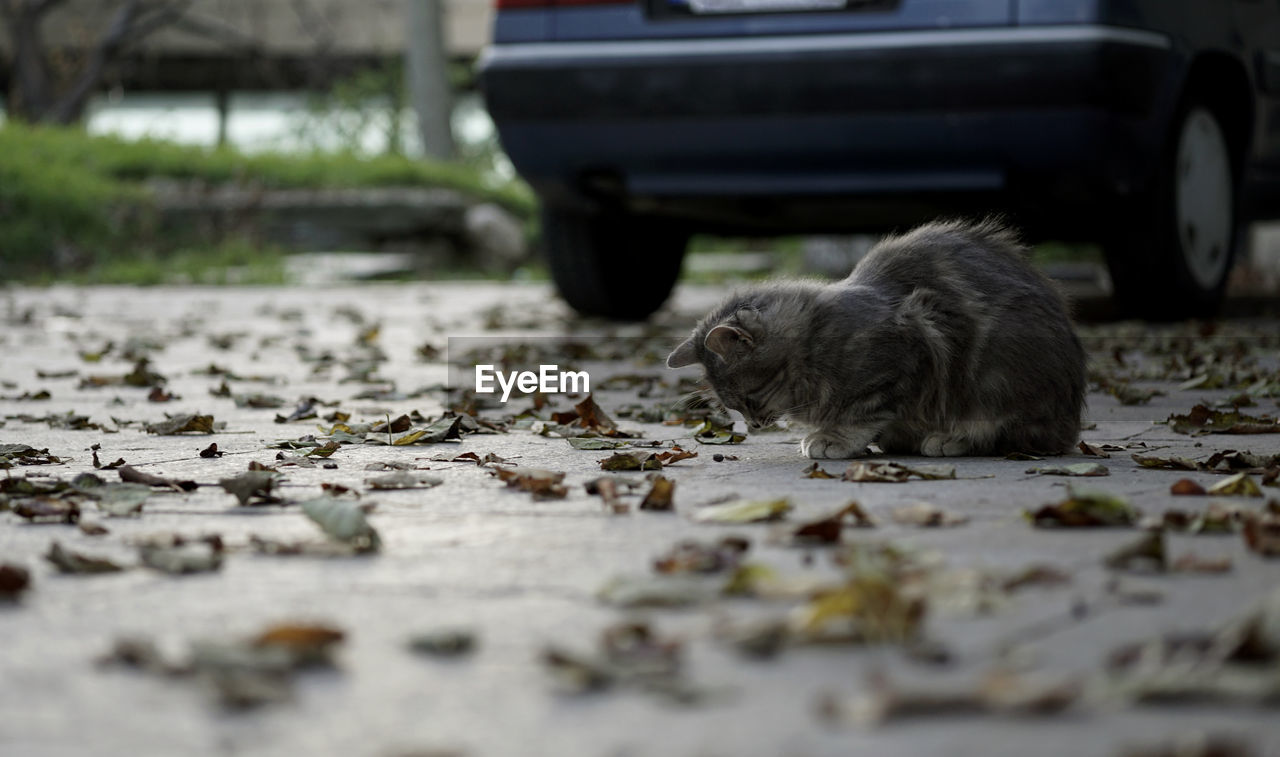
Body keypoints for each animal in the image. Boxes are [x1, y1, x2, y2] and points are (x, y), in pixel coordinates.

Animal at [665, 217, 1085, 455]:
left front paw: (832, 437)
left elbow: (864, 411)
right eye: (733, 407)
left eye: (750, 398)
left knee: (1010, 433)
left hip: (998, 381)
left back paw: (951, 438)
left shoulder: (908, 351)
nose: (754, 426)